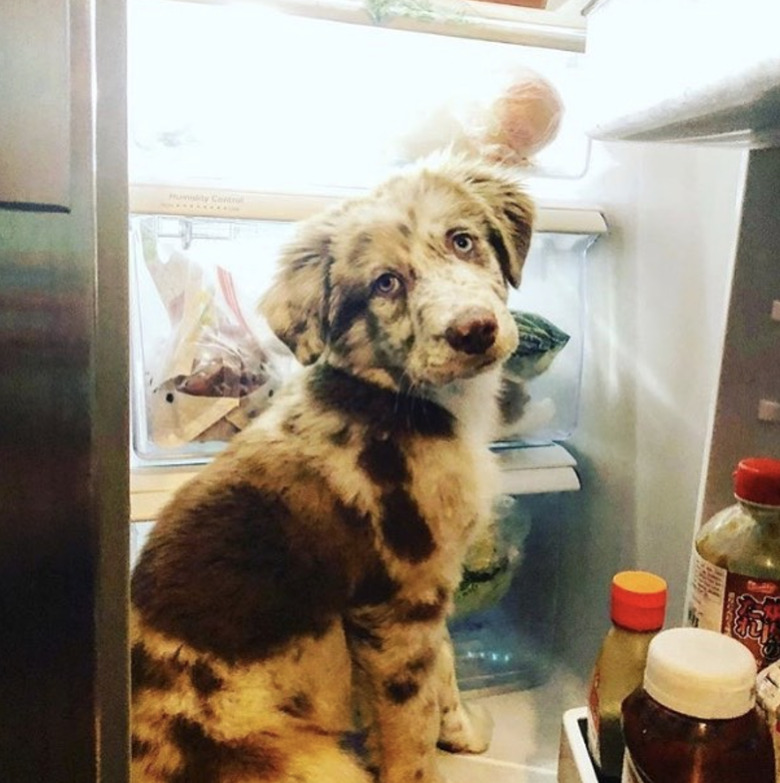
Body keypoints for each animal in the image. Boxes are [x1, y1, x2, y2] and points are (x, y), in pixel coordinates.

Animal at [131, 155, 532, 783]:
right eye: (385, 283)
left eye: (463, 241)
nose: (473, 331)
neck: (399, 398)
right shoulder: (399, 603)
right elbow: (410, 725)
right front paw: (428, 756)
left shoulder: (429, 585)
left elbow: (443, 666)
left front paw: (461, 730)